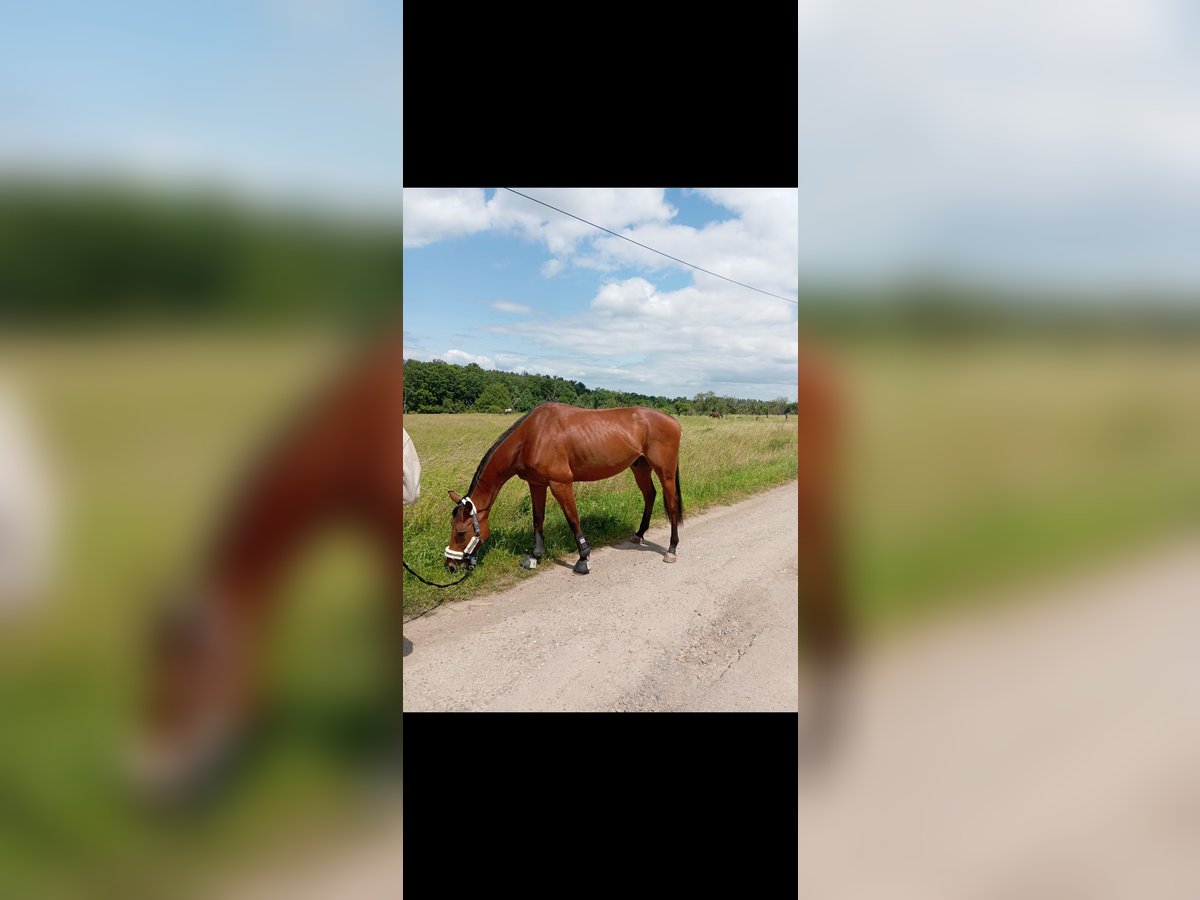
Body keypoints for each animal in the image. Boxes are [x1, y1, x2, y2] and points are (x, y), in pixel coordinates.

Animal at [444, 403, 683, 576]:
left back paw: (671, 550)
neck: (532, 436)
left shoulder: (561, 484)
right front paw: (535, 556)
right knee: (650, 496)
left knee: (671, 504)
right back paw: (639, 534)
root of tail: (672, 420)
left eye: (461, 532)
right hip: (640, 467)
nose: (450, 566)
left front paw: (583, 559)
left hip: (665, 472)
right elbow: (538, 518)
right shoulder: (537, 484)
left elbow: (572, 519)